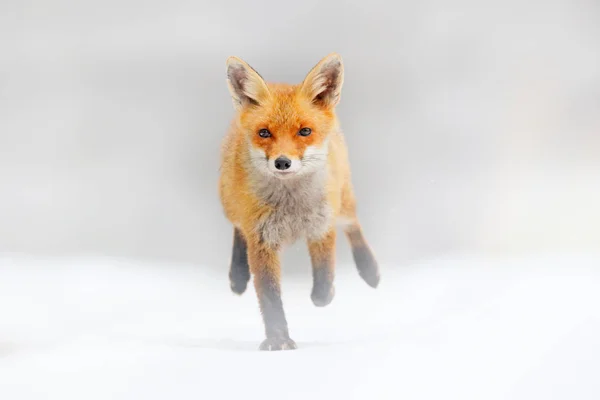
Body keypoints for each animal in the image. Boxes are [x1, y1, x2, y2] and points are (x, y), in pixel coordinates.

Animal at [220, 52, 380, 350]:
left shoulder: (321, 226)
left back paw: (370, 271)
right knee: (238, 230)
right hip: (229, 202)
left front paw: (324, 295)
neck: (291, 206)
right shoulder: (261, 239)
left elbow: (325, 275)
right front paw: (278, 339)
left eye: (305, 131)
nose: (282, 162)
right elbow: (270, 296)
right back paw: (237, 277)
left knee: (353, 225)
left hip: (343, 200)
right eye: (264, 133)